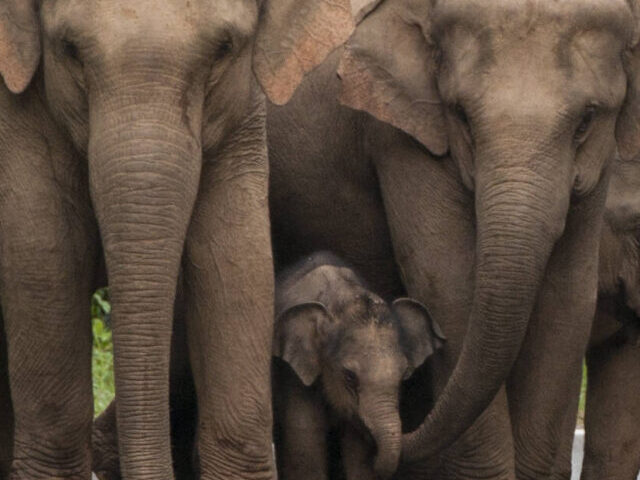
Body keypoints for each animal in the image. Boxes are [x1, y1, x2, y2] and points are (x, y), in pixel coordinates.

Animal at [272, 251, 444, 480]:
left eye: (403, 376)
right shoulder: (294, 377)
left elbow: (358, 462)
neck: (339, 298)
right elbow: (306, 457)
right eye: (349, 376)